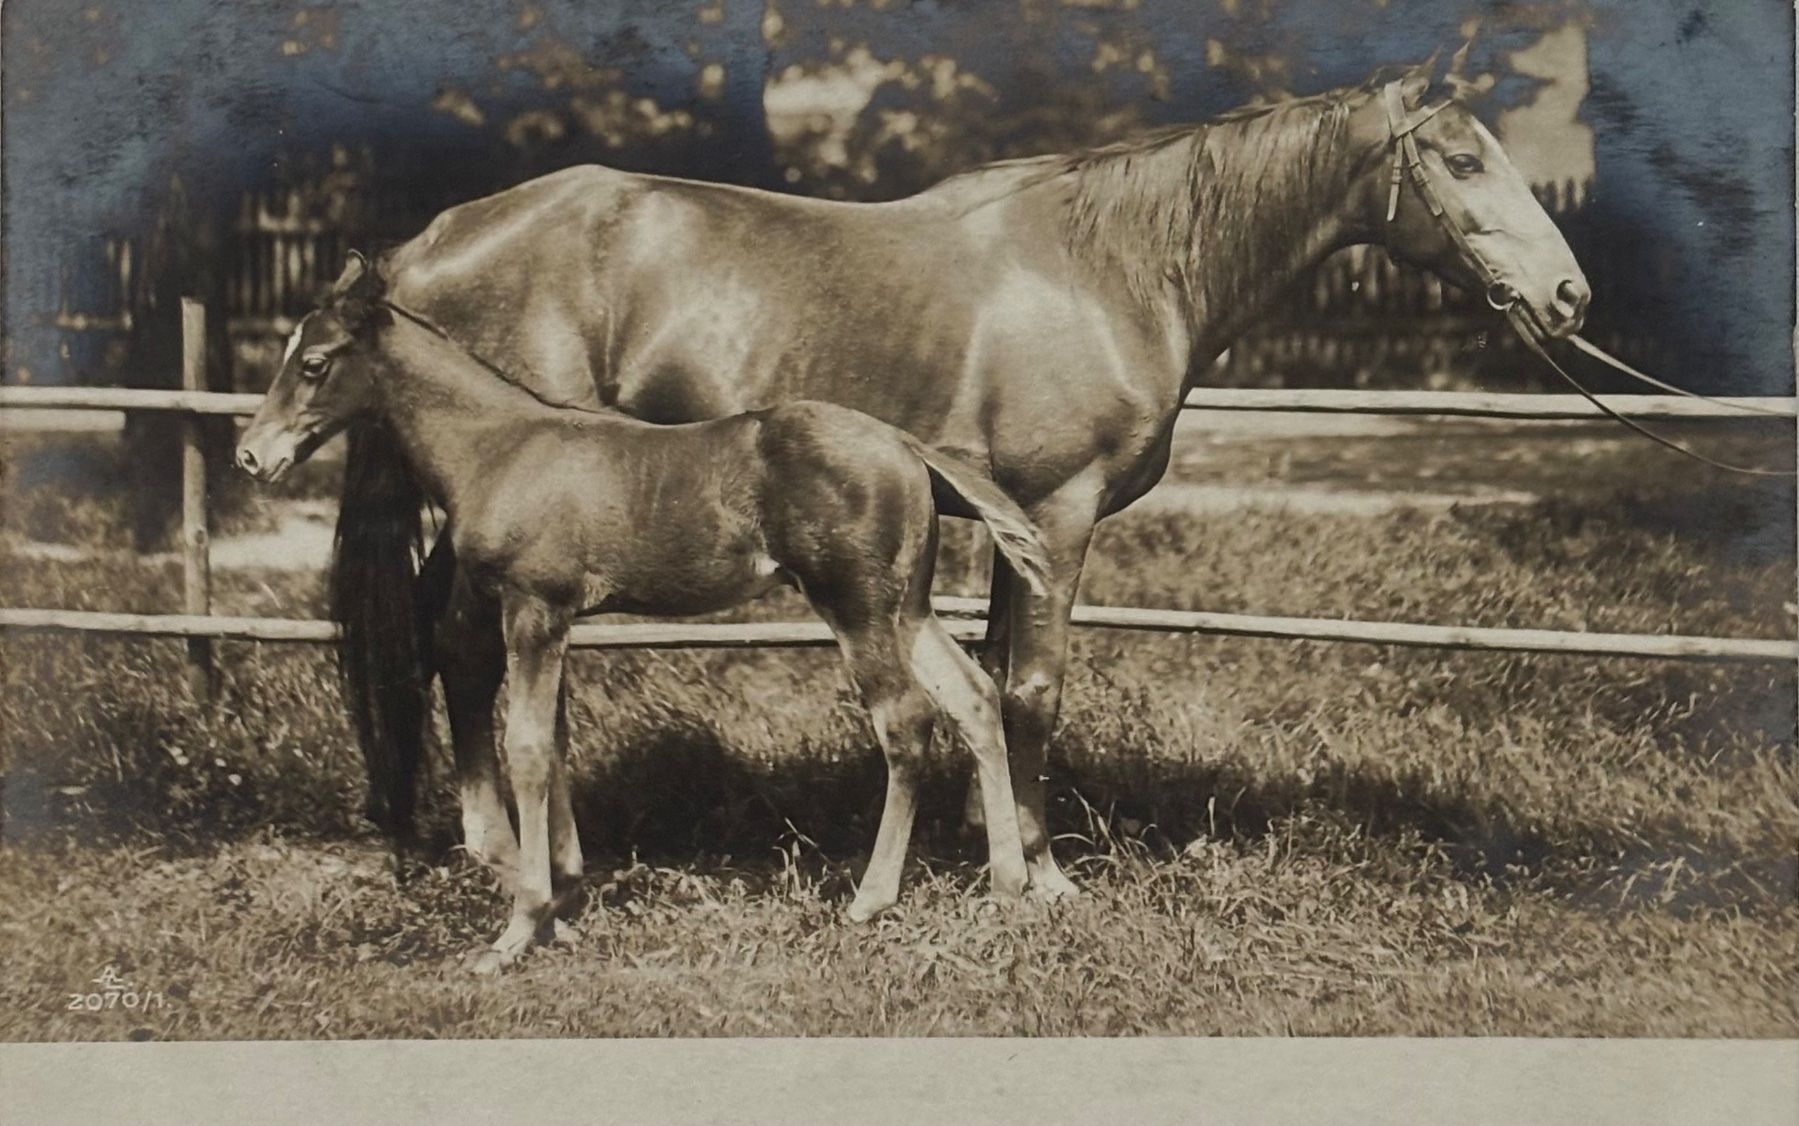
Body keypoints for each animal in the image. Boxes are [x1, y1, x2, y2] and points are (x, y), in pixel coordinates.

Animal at [235, 252, 1054, 971]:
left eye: (315, 363)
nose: (250, 456)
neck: (498, 447)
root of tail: (905, 445)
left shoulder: (534, 607)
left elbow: (525, 747)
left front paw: (519, 929)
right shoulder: (556, 619)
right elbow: (553, 741)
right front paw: (559, 908)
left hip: (853, 604)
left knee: (905, 722)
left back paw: (872, 899)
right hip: (903, 606)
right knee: (973, 697)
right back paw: (1008, 885)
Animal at [323, 55, 1590, 903]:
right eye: (1461, 160)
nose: (1568, 296)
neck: (1109, 268)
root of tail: (422, 246)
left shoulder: (998, 530)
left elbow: (982, 678)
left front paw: (989, 855)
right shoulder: (1058, 515)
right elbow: (1031, 690)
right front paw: (1038, 874)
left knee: (450, 642)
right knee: (462, 643)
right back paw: (503, 850)